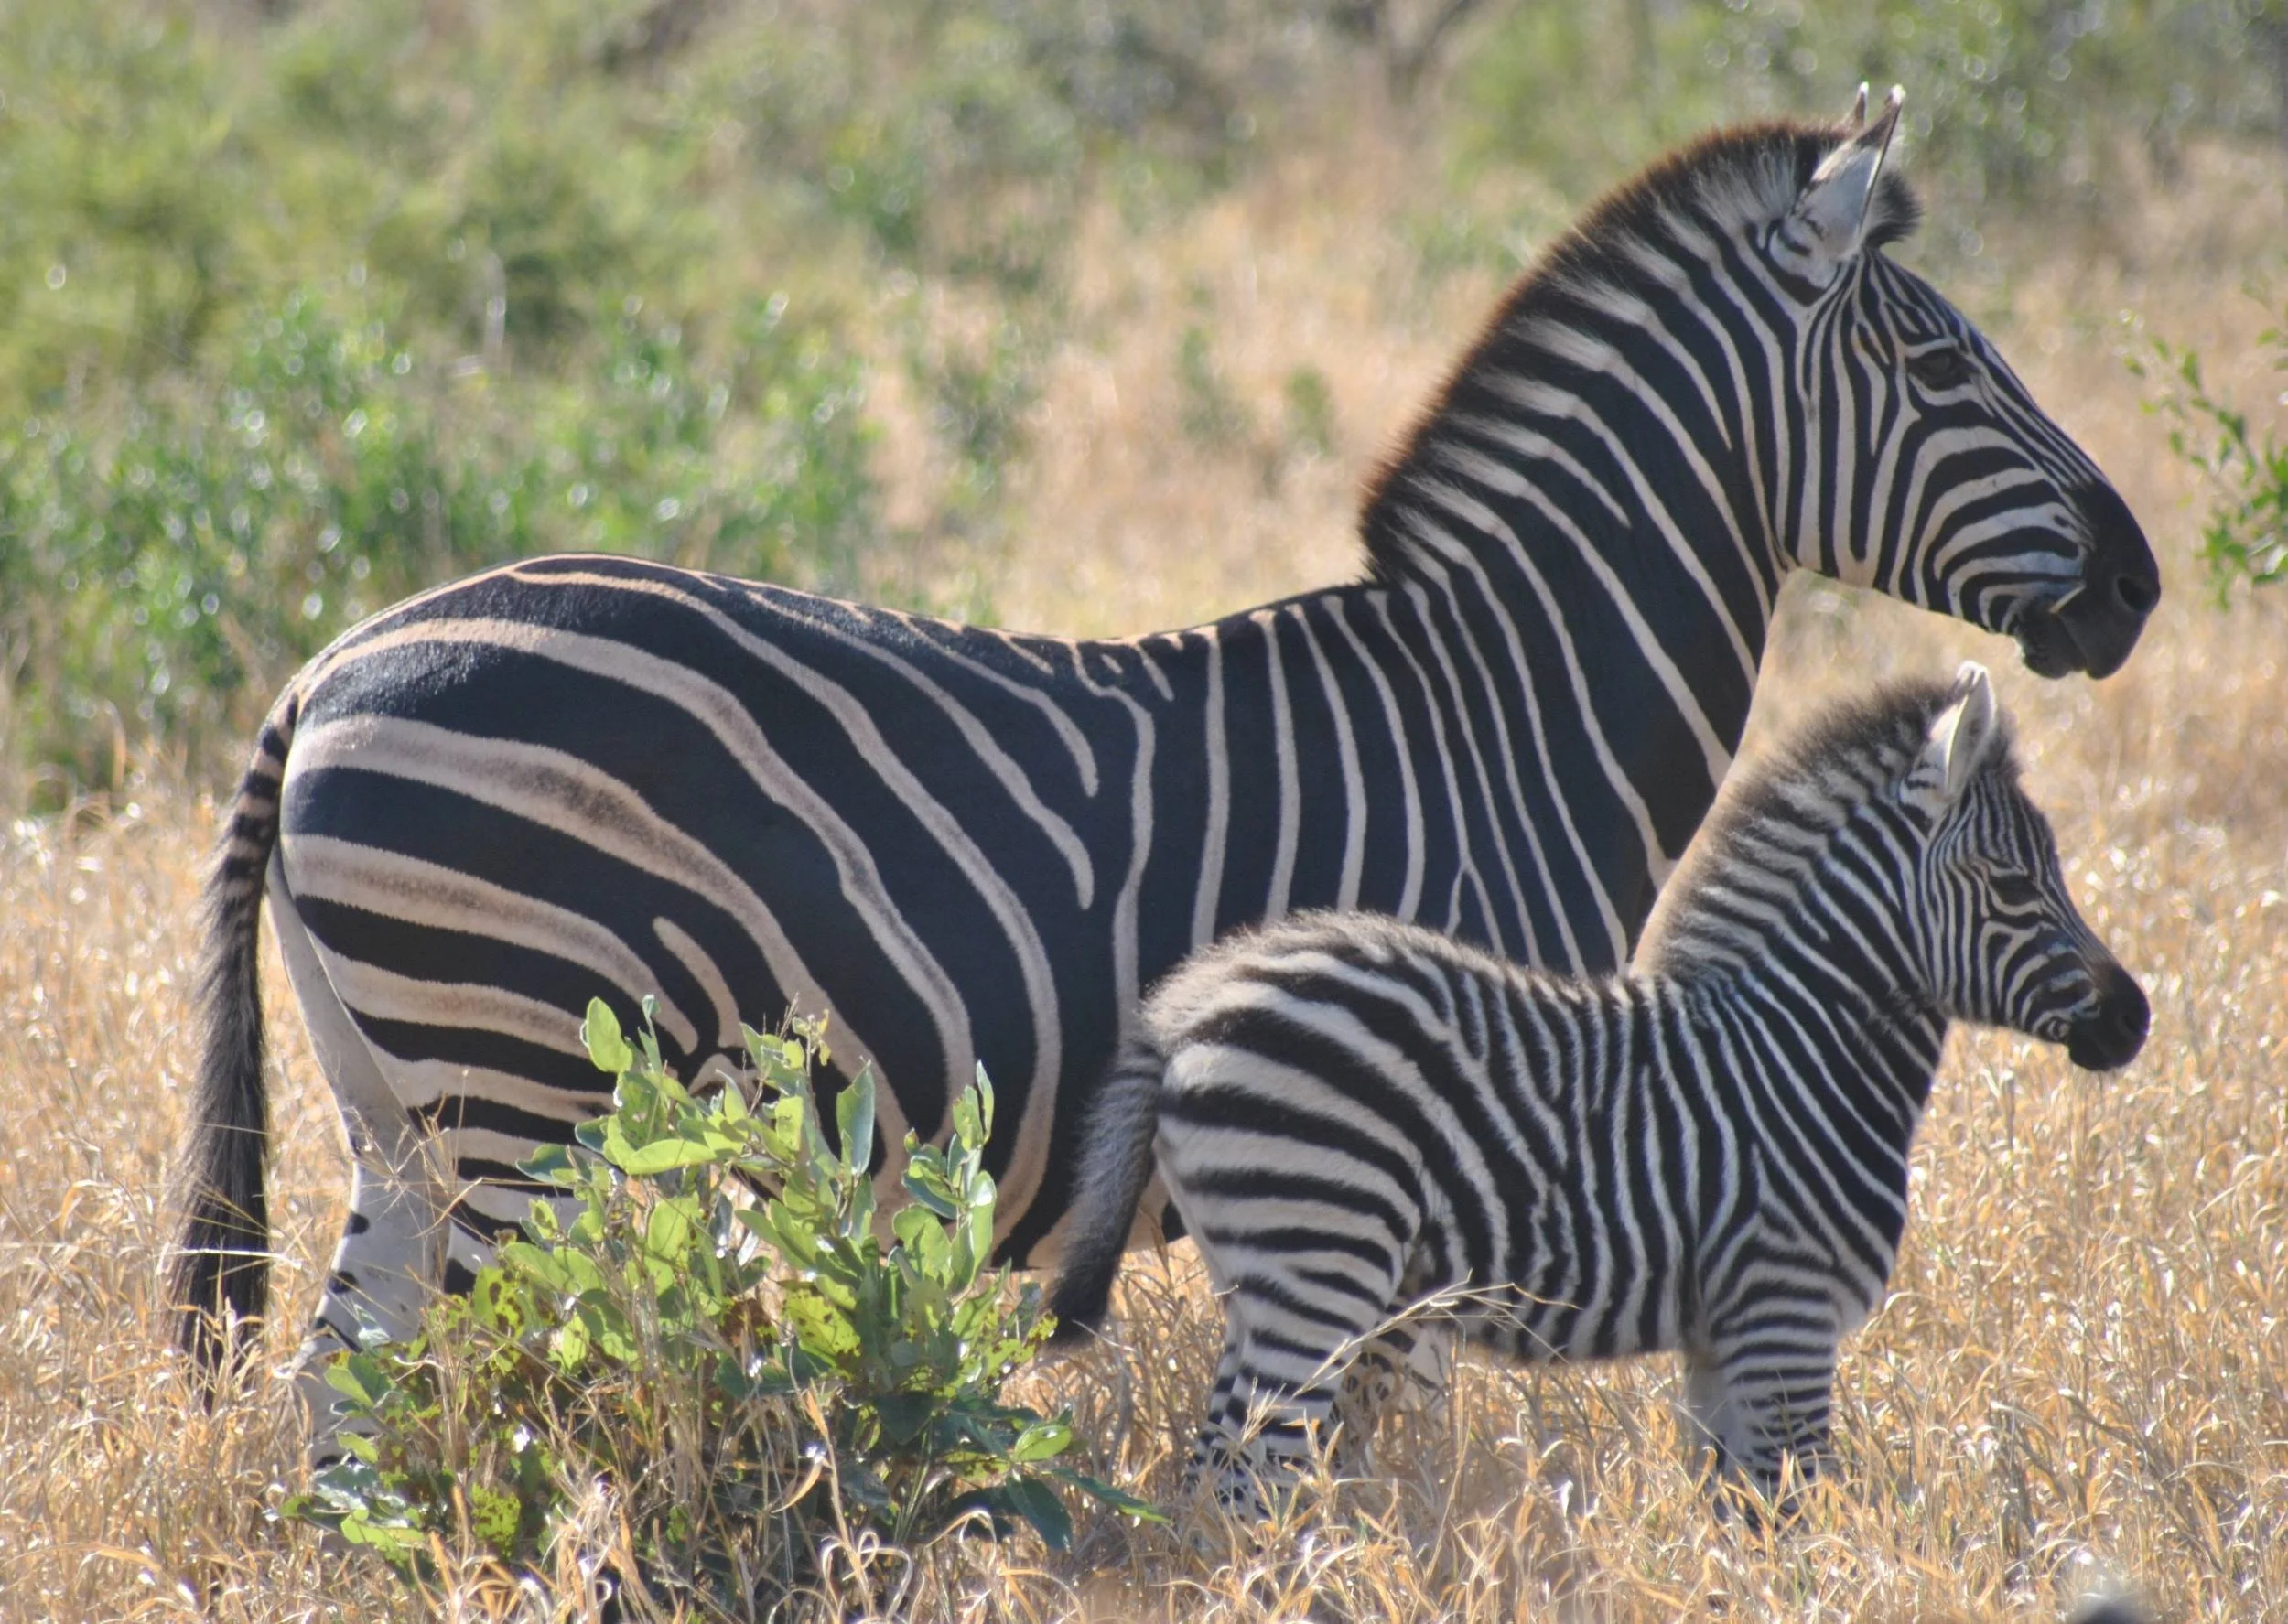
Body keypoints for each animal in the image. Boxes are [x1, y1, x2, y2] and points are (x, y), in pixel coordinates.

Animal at [1048, 663, 2149, 1508]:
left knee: (1209, 1485)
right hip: (1319, 1265)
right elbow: (1796, 1513)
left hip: (1268, 1281)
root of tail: (1185, 1009)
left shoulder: (1722, 1339)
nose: (2134, 1018)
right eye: (2015, 883)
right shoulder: (1785, 1312)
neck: (1802, 1049)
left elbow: (1738, 1518)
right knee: (1249, 1483)